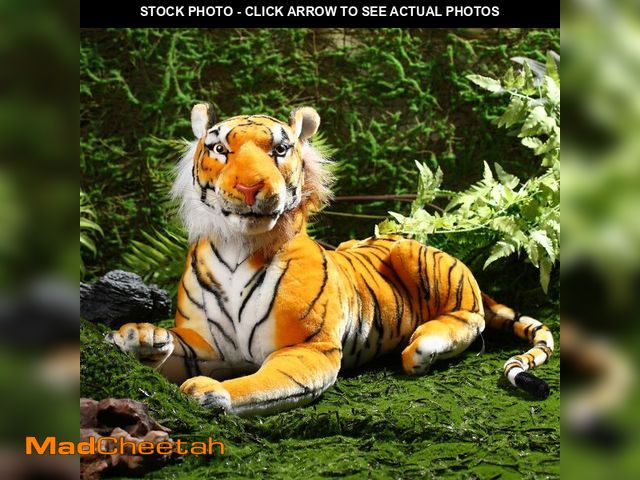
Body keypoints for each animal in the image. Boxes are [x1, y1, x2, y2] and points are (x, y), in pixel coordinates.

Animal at [105, 105, 555, 416]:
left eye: (280, 150)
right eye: (219, 149)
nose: (250, 187)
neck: (238, 248)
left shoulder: (308, 349)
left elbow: (260, 383)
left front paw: (210, 391)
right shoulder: (206, 343)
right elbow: (171, 344)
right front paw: (140, 335)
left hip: (418, 258)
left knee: (471, 317)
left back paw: (422, 347)